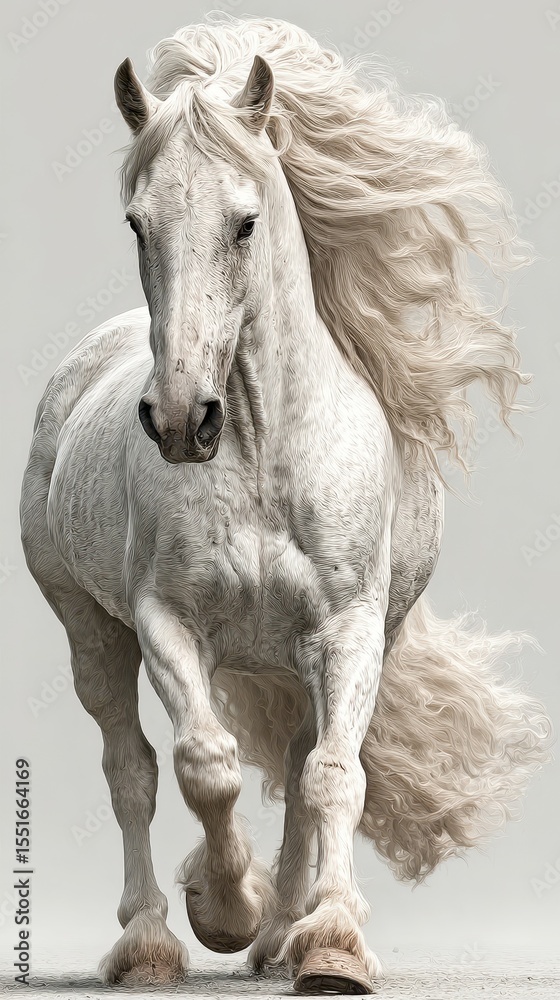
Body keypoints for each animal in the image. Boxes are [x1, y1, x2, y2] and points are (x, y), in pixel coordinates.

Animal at [20, 15, 551, 995]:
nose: (182, 419)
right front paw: (224, 908)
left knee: (304, 763)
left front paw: (330, 941)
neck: (266, 454)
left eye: (245, 222)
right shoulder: (164, 621)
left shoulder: (349, 631)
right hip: (90, 628)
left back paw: (285, 935)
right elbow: (205, 767)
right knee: (129, 769)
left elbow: (334, 777)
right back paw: (153, 943)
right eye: (136, 222)